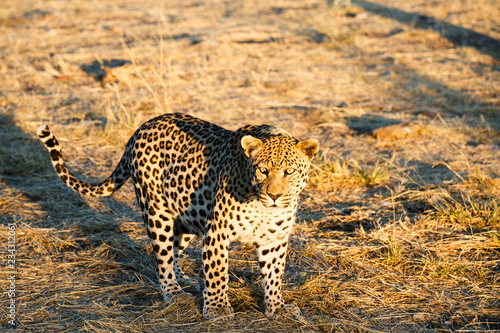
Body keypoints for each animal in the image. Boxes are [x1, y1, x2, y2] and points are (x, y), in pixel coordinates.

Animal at [39, 112, 320, 320]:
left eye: (290, 171)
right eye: (262, 170)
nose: (274, 195)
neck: (261, 204)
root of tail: (140, 128)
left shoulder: (274, 240)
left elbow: (274, 275)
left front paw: (277, 308)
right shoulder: (217, 233)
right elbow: (217, 272)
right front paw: (217, 309)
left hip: (187, 216)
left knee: (174, 250)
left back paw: (183, 279)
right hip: (157, 212)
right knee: (162, 258)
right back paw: (173, 291)